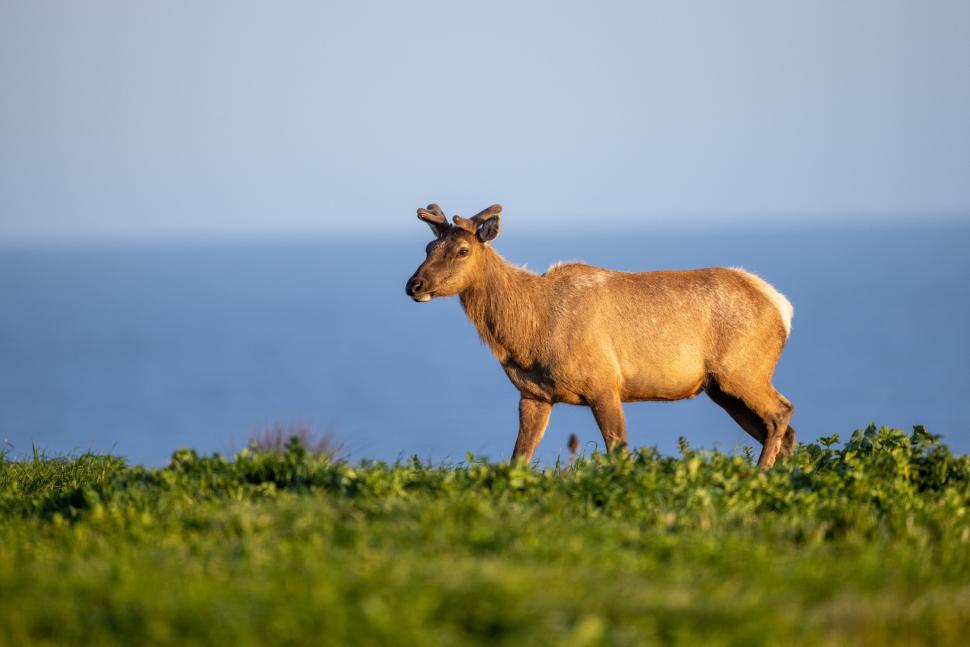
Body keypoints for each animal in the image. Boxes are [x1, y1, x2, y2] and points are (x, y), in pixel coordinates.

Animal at [405, 203, 796, 469]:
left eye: (462, 250)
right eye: (427, 249)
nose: (414, 285)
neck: (529, 334)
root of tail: (782, 306)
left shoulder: (605, 382)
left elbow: (619, 450)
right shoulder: (533, 393)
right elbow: (520, 456)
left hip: (743, 370)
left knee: (781, 413)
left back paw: (760, 475)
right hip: (721, 387)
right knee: (782, 430)